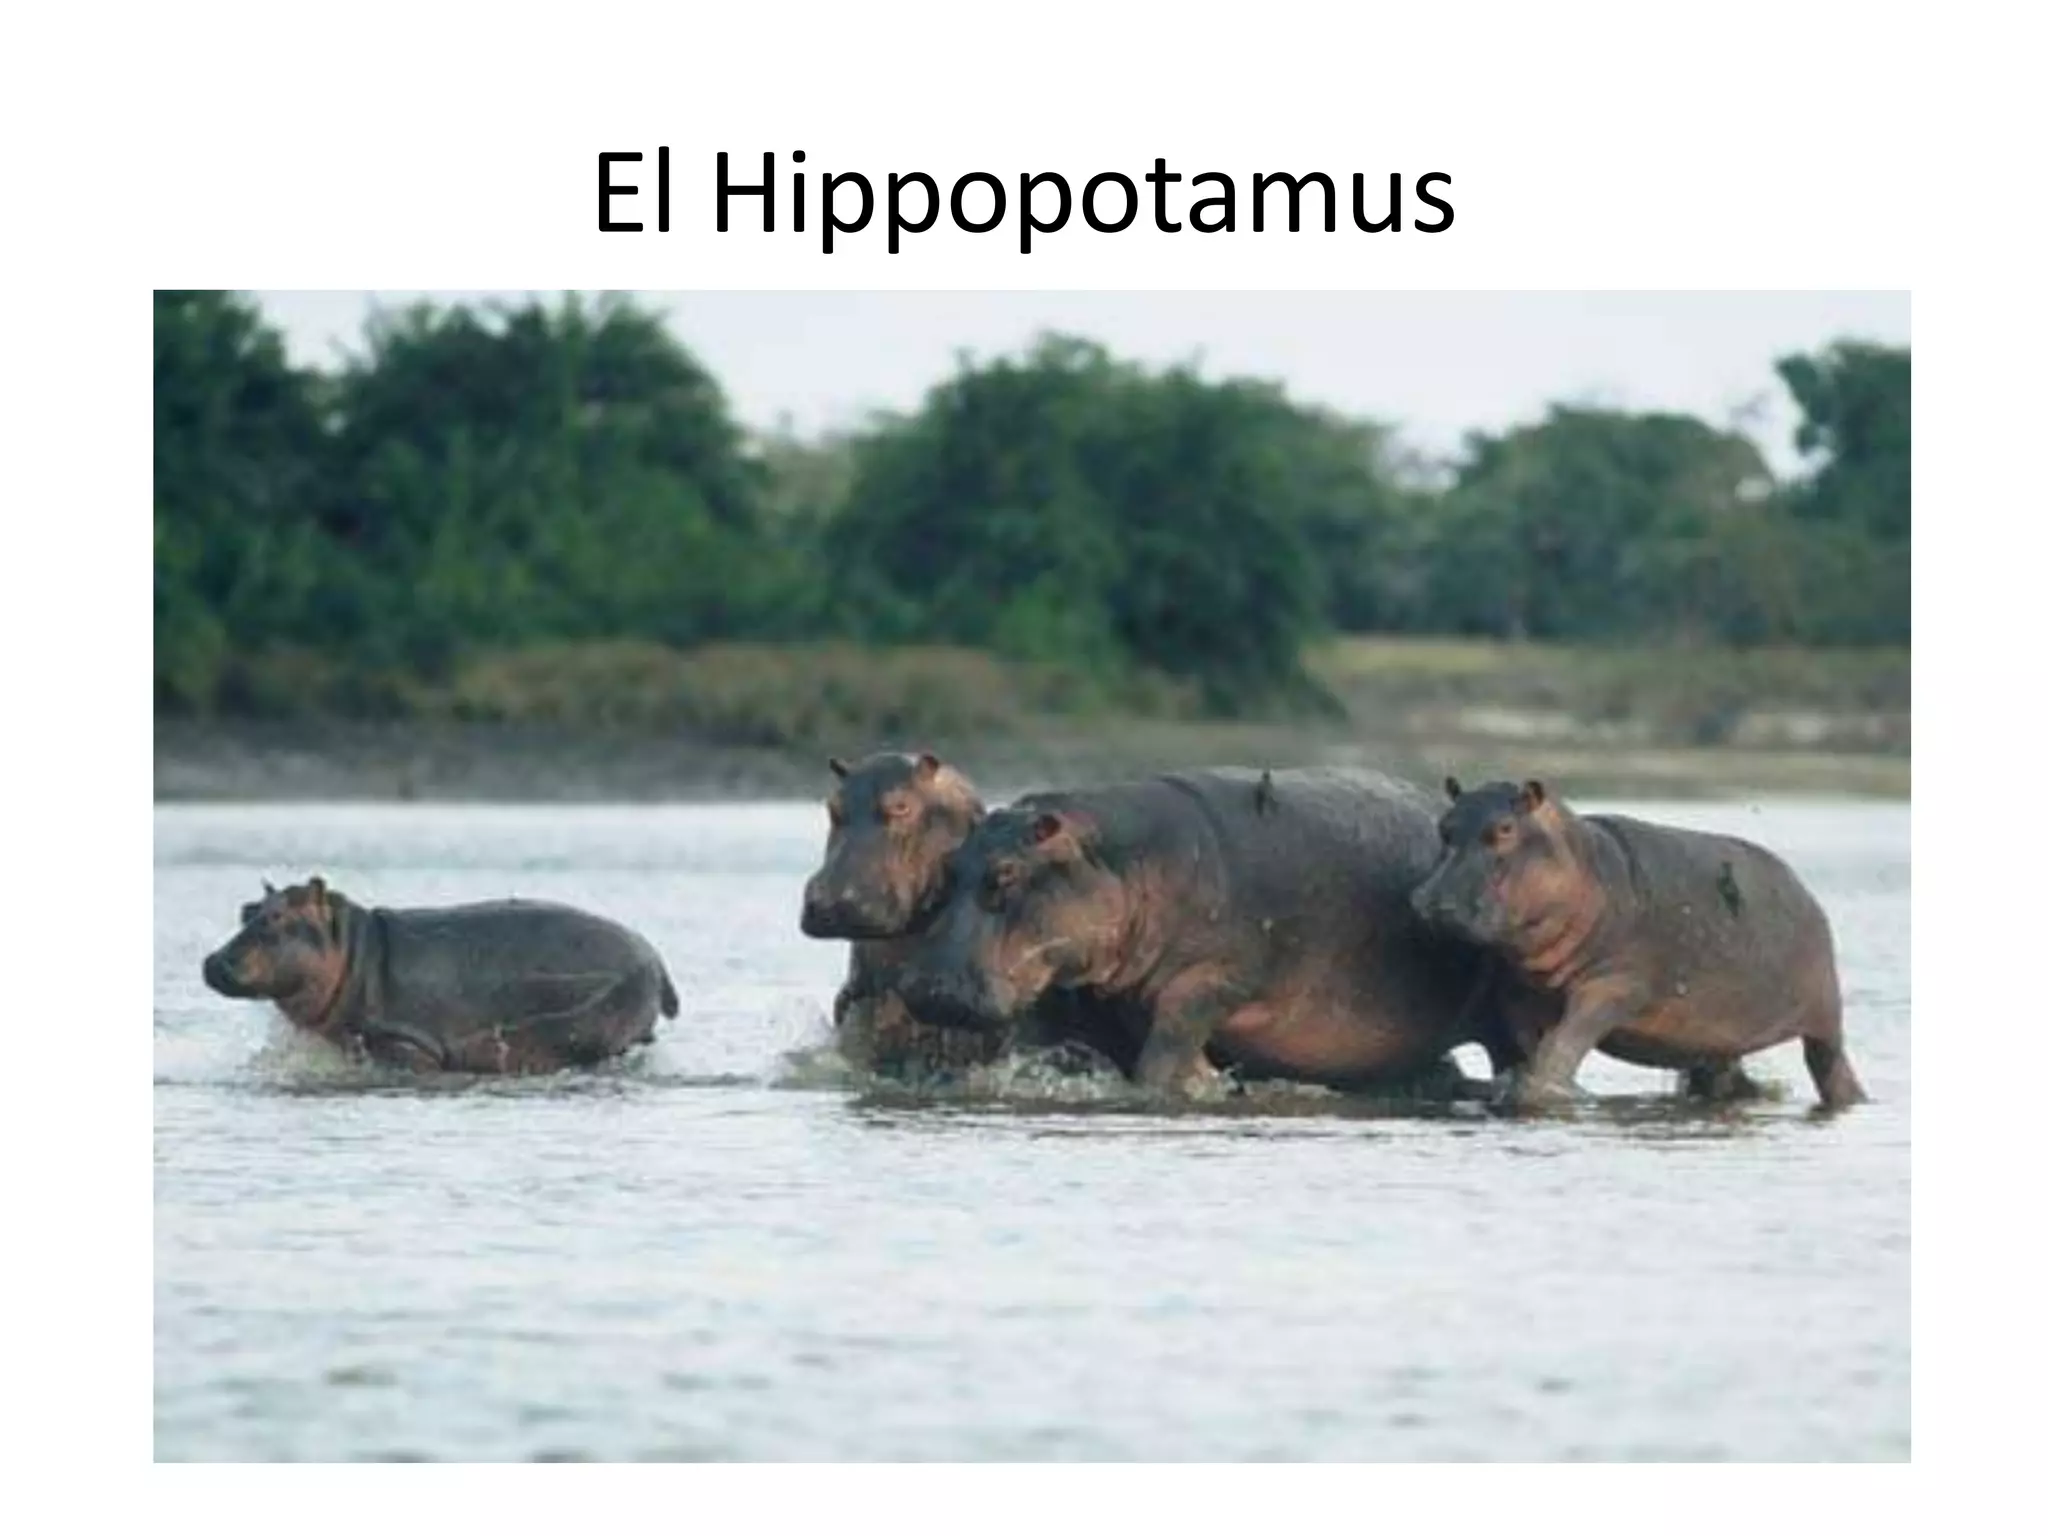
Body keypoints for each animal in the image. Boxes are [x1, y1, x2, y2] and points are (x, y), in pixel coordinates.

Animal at [202, 877, 678, 1074]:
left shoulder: (407, 1042)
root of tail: (655, 955)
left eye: (277, 917)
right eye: (247, 909)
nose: (211, 961)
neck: (353, 946)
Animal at [895, 767, 1513, 1096]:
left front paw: (1197, 1082)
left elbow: (1168, 1046)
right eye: (948, 867)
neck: (1119, 860)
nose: (928, 986)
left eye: (1006, 873)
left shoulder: (1214, 978)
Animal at [1408, 778, 1864, 1111]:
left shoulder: (1613, 985)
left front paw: (1545, 1089)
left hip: (1825, 1018)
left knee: (1829, 1064)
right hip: (1715, 1039)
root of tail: (1806, 893)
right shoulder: (1519, 992)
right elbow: (1529, 1045)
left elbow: (1567, 1039)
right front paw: (1518, 1084)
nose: (1430, 899)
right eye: (1444, 827)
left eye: (1505, 828)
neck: (1580, 866)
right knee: (1724, 1077)